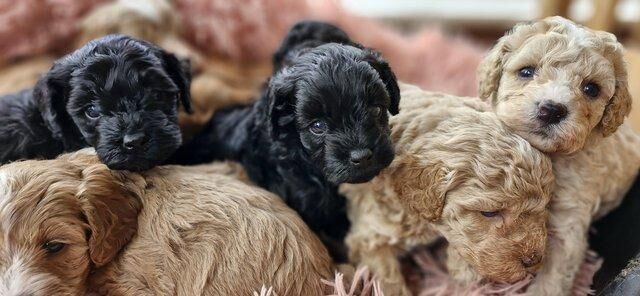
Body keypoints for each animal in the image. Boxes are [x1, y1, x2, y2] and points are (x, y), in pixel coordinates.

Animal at [344, 84, 556, 296]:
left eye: (543, 207)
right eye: (489, 213)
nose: (533, 261)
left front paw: (464, 274)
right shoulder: (369, 236)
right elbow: (387, 278)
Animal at [478, 16, 640, 296]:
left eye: (591, 88)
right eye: (526, 72)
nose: (551, 110)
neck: (550, 158)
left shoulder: (569, 224)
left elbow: (551, 278)